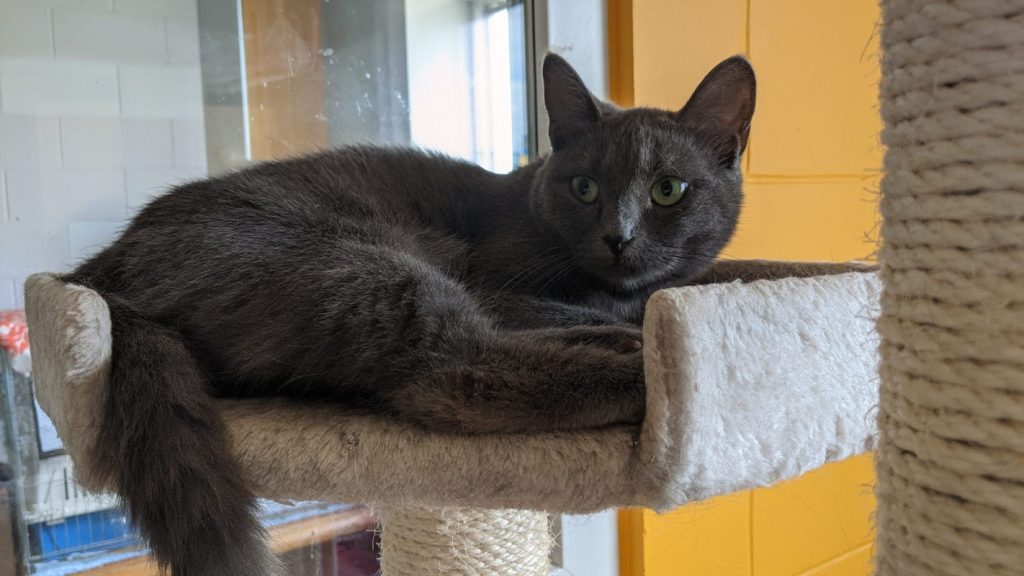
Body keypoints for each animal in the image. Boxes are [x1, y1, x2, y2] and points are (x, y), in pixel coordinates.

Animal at [65, 54, 756, 575]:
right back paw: (640, 365)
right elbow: (565, 310)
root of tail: (99, 271)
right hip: (365, 261)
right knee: (452, 373)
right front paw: (629, 327)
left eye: (669, 190)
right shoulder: (500, 286)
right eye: (584, 187)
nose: (619, 236)